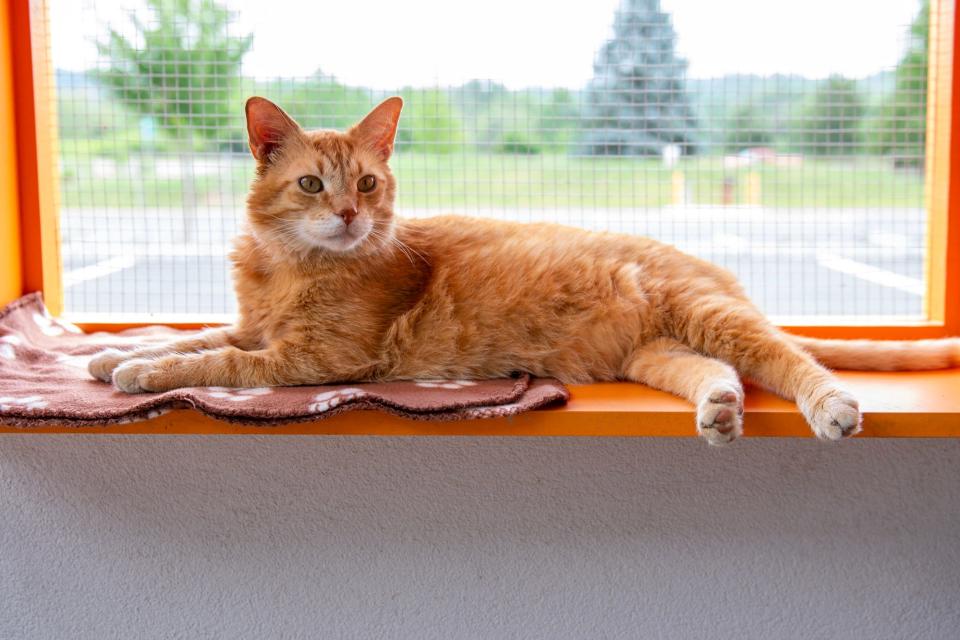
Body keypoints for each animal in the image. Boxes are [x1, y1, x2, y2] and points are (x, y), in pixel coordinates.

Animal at [88, 96, 960, 444]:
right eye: (311, 184)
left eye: (366, 184)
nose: (349, 216)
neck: (288, 266)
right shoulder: (255, 324)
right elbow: (194, 333)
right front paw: (115, 352)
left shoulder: (313, 360)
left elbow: (216, 360)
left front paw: (139, 372)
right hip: (660, 353)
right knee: (720, 373)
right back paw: (718, 411)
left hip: (713, 317)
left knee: (790, 358)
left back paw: (833, 406)